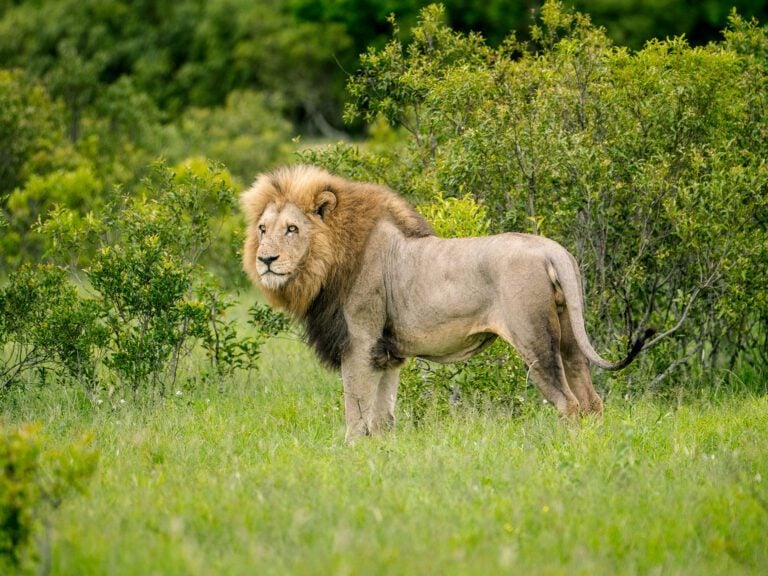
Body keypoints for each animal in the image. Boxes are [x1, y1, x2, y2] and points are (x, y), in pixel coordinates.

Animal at [241, 165, 651, 441]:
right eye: (262, 229)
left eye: (292, 229)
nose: (266, 260)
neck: (329, 263)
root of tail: (554, 250)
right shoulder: (387, 354)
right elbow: (381, 416)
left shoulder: (359, 343)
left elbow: (355, 412)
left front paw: (350, 452)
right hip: (567, 336)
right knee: (592, 400)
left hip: (535, 340)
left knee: (569, 404)